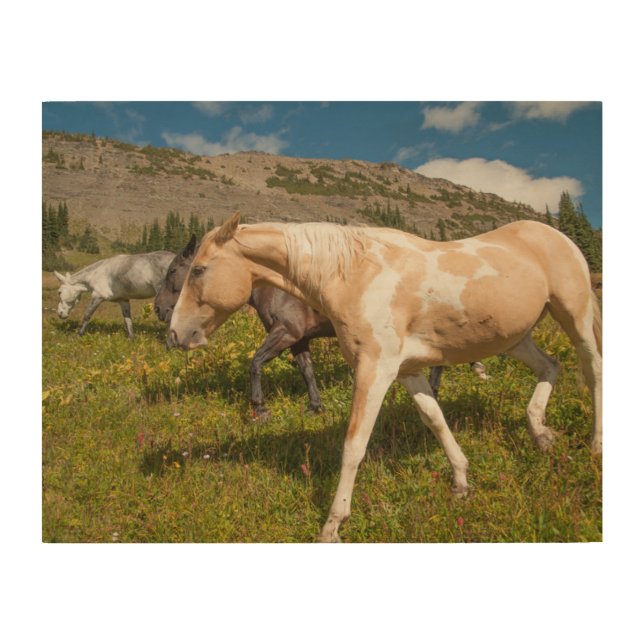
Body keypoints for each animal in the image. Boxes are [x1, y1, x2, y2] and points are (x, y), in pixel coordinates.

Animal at [155, 235, 489, 416]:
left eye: (174, 270)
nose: (159, 309)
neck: (272, 286)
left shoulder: (285, 332)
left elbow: (255, 362)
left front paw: (259, 407)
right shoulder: (299, 339)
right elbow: (307, 371)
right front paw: (315, 405)